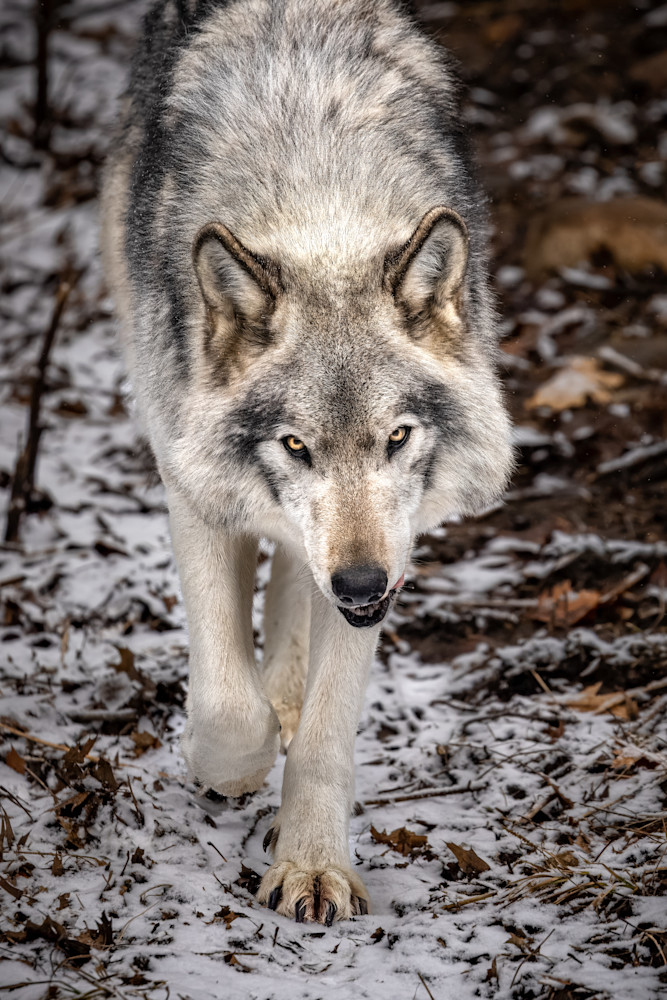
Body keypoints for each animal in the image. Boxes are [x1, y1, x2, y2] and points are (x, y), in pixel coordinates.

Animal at [101, 0, 513, 924]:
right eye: (296, 445)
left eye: (396, 437)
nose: (360, 583)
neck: (318, 203)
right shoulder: (191, 486)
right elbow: (226, 703)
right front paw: (233, 769)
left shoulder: (389, 554)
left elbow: (326, 734)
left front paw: (312, 865)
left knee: (295, 579)